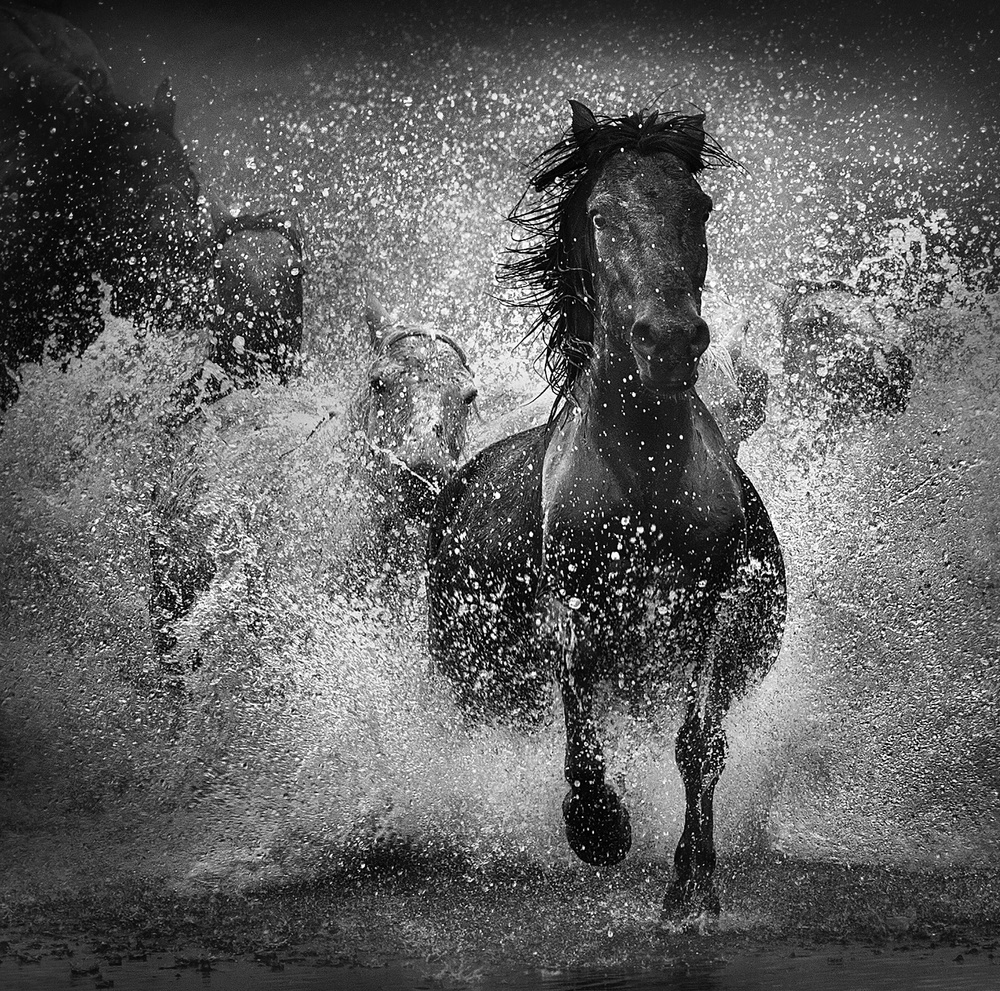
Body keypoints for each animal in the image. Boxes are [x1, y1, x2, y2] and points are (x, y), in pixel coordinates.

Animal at [426, 101, 787, 920]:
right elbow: (582, 736)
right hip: (476, 684)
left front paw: (692, 886)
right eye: (599, 213)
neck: (645, 479)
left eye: (699, 205)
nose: (671, 341)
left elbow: (699, 743)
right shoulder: (577, 609)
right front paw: (598, 828)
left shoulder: (711, 605)